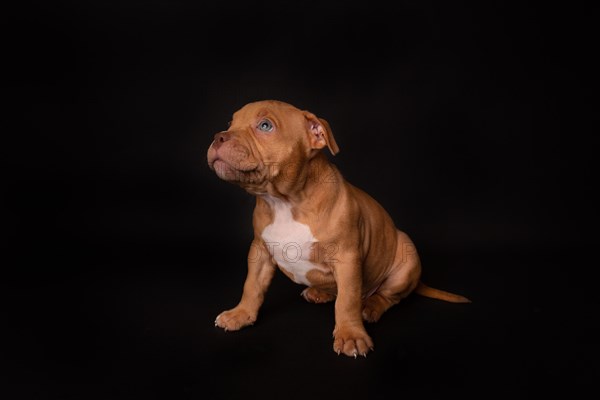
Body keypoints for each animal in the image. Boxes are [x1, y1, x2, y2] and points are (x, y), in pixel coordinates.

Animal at [206, 101, 468, 358]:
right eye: (230, 123)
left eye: (265, 125)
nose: (219, 136)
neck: (285, 202)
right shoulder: (259, 250)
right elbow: (252, 286)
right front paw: (240, 314)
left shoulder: (347, 258)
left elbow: (347, 300)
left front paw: (351, 335)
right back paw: (319, 292)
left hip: (406, 256)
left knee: (387, 296)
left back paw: (370, 307)